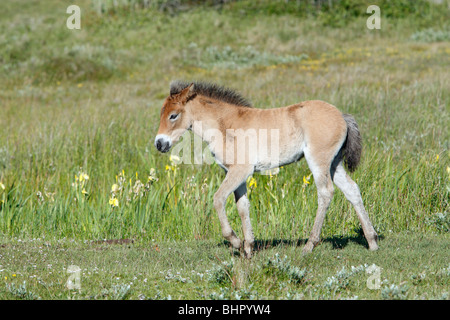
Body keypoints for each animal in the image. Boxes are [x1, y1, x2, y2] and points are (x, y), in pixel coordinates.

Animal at [153, 80, 378, 258]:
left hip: (319, 161)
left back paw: (309, 245)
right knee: (352, 190)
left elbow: (218, 199)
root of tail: (341, 115)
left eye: (173, 115)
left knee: (325, 193)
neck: (225, 125)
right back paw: (372, 241)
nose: (159, 144)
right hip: (334, 163)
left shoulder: (241, 171)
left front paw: (235, 241)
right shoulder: (235, 174)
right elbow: (242, 206)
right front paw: (248, 248)